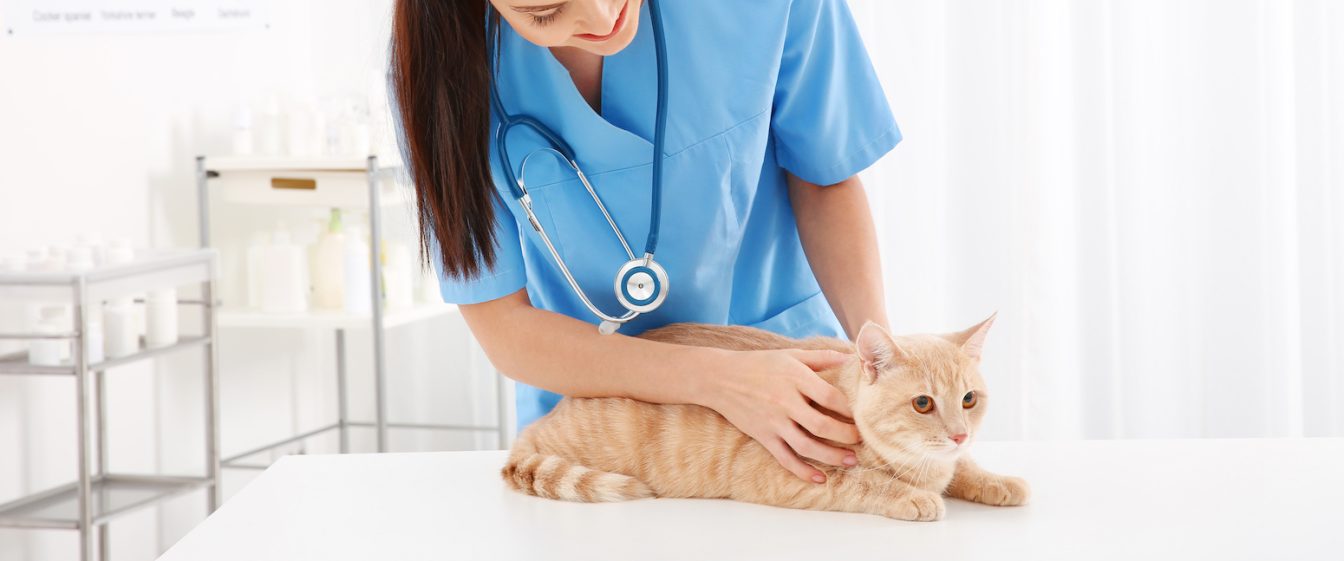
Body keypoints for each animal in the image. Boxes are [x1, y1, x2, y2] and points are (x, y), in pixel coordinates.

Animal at [502, 314, 1026, 519]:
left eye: (968, 400)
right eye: (922, 404)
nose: (959, 435)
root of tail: (536, 426)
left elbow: (963, 470)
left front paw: (996, 479)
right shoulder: (791, 475)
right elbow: (864, 483)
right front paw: (913, 497)